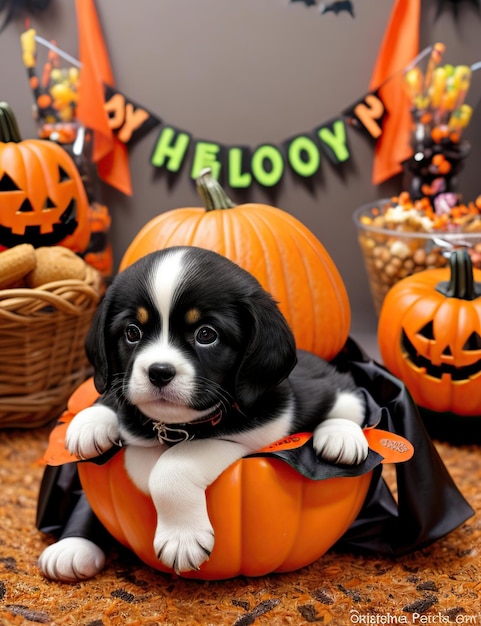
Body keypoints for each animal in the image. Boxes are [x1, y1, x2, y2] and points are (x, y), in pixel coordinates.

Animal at [38, 246, 368, 576]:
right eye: (132, 332)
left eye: (206, 334)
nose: (159, 372)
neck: (173, 428)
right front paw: (90, 422)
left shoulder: (258, 431)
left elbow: (173, 465)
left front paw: (181, 538)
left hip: (335, 394)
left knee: (354, 403)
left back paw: (341, 437)